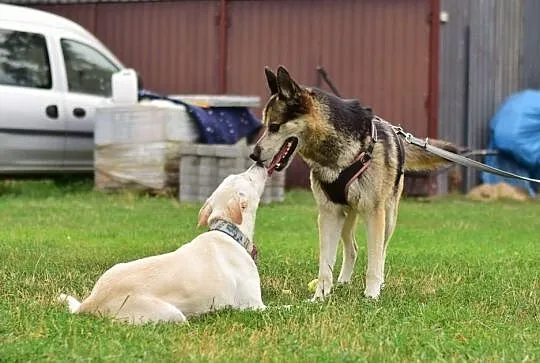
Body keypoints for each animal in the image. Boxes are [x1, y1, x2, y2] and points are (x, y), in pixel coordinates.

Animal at [58, 164, 268, 324]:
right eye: (248, 178)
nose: (258, 162)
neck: (229, 232)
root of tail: (90, 302)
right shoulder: (254, 306)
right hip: (171, 313)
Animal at [249, 65, 456, 302]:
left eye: (274, 126)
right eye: (265, 126)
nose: (253, 154)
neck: (336, 156)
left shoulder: (374, 214)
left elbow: (374, 261)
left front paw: (371, 296)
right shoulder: (329, 214)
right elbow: (325, 265)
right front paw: (320, 296)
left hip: (388, 217)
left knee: (382, 251)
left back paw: (378, 283)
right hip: (346, 218)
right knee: (353, 249)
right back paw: (343, 281)